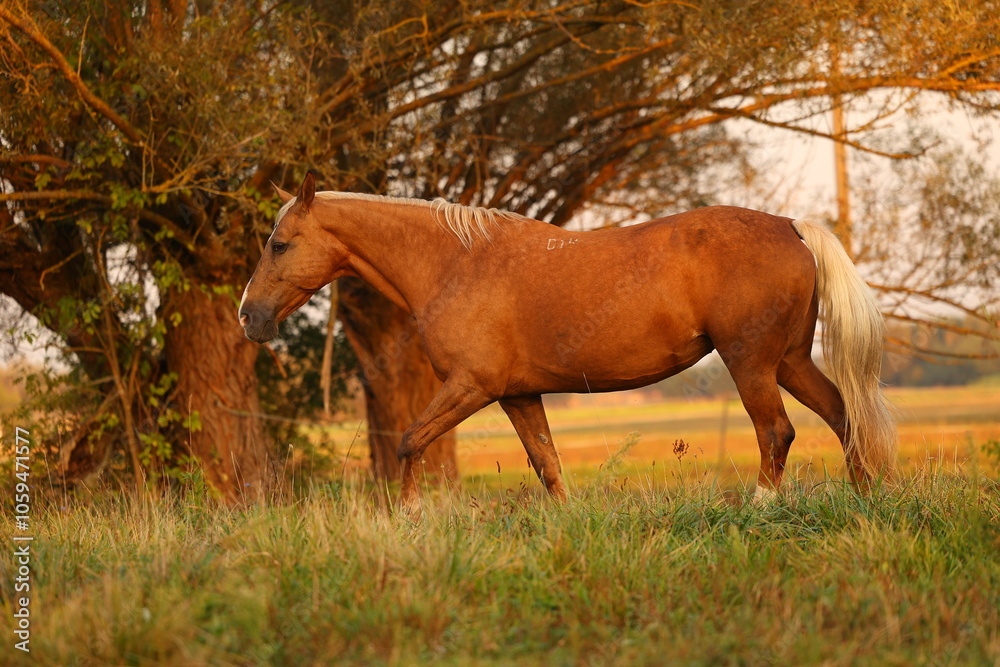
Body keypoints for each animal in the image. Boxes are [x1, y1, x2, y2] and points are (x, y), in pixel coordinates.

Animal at [239, 173, 896, 511]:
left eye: (279, 244)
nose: (250, 317)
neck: (456, 262)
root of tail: (792, 227)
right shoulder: (517, 395)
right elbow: (547, 465)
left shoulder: (471, 387)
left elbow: (408, 442)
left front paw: (408, 516)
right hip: (789, 361)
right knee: (842, 413)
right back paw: (866, 498)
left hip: (751, 362)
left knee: (777, 432)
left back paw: (761, 508)